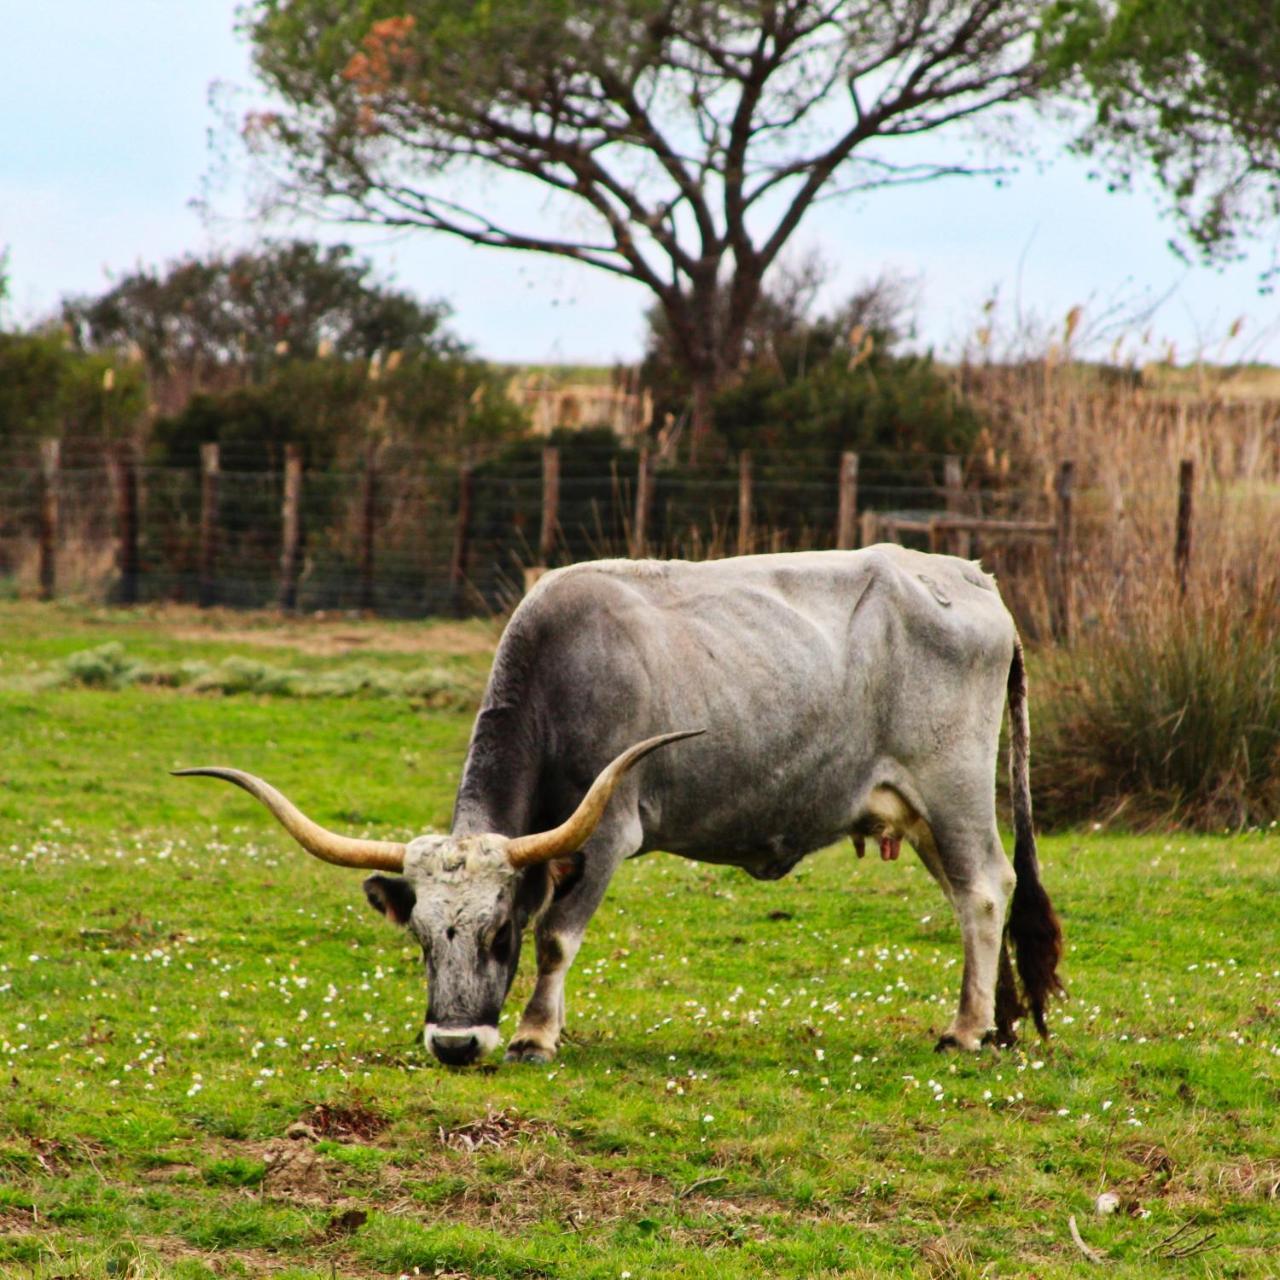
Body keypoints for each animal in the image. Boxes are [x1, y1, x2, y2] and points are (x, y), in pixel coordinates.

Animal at [175, 545, 1064, 1064]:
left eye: (499, 932)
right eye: (423, 938)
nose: (456, 1045)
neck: (563, 676)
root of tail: (975, 581)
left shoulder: (603, 837)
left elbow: (559, 937)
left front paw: (535, 1033)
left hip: (952, 791)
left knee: (985, 891)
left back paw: (965, 1029)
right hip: (918, 812)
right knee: (971, 898)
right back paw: (994, 1020)